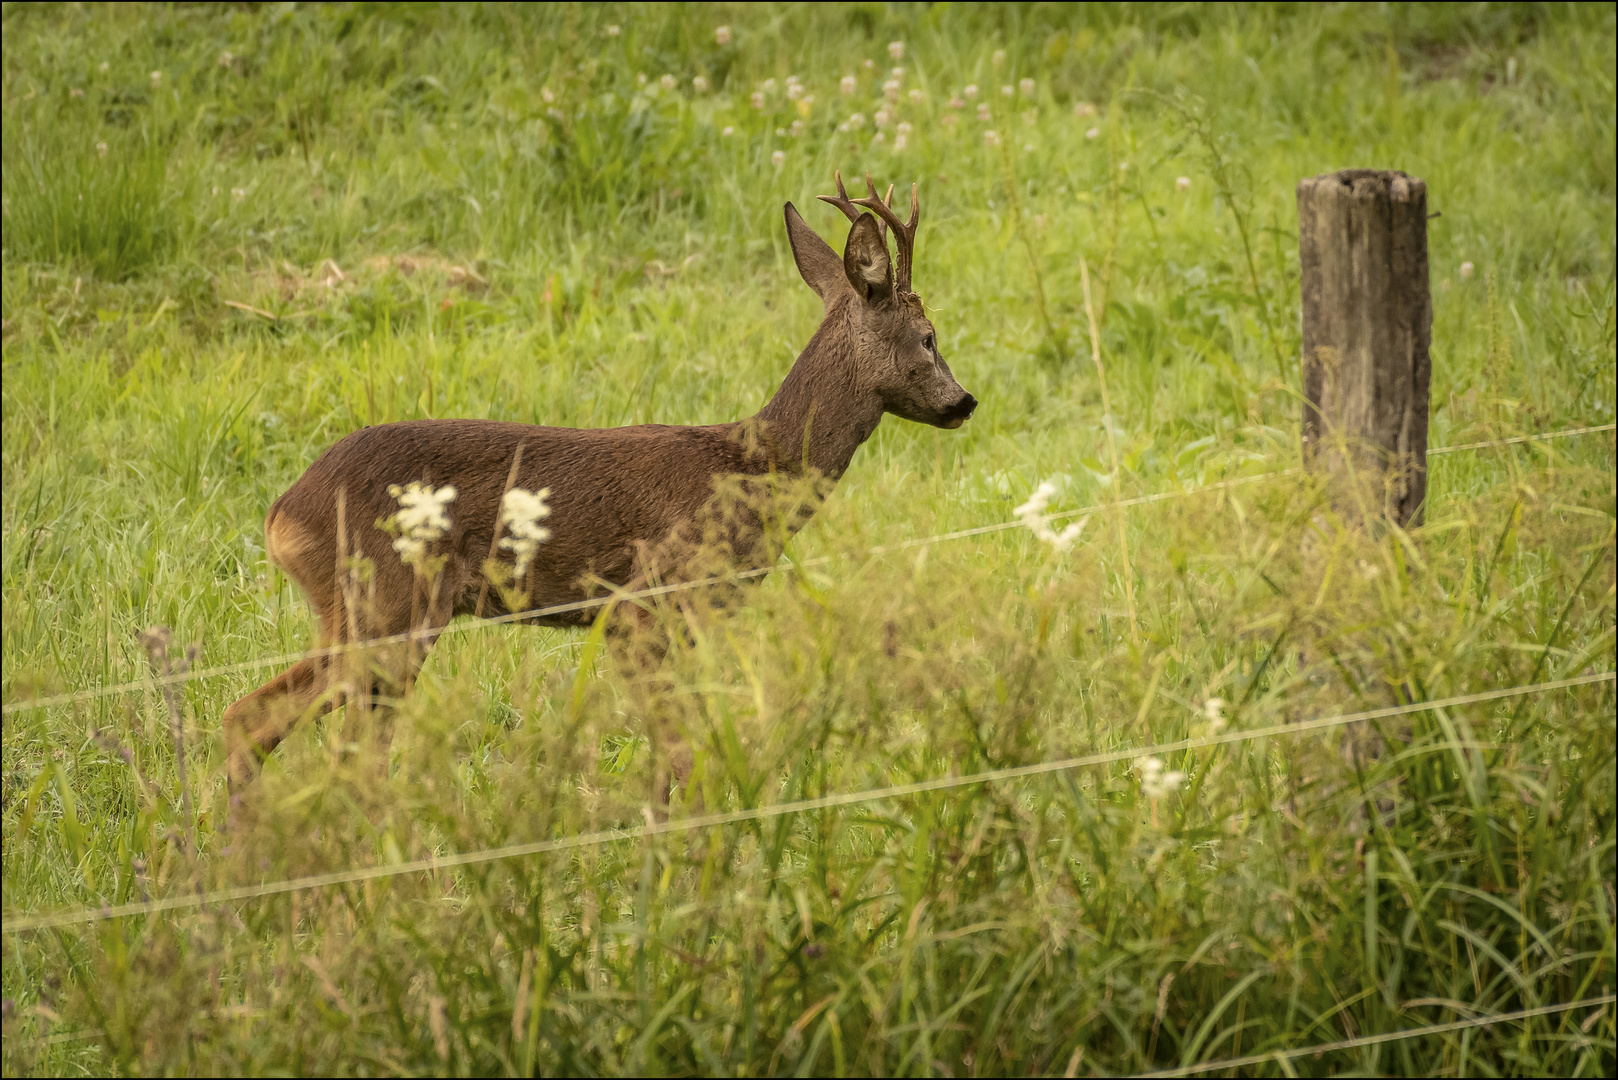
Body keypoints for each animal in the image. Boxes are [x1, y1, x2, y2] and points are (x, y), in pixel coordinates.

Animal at [224, 170, 970, 793]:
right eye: (929, 336)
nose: (965, 402)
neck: (756, 468)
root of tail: (282, 514)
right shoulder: (644, 603)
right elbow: (680, 758)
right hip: (387, 606)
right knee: (312, 744)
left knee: (257, 723)